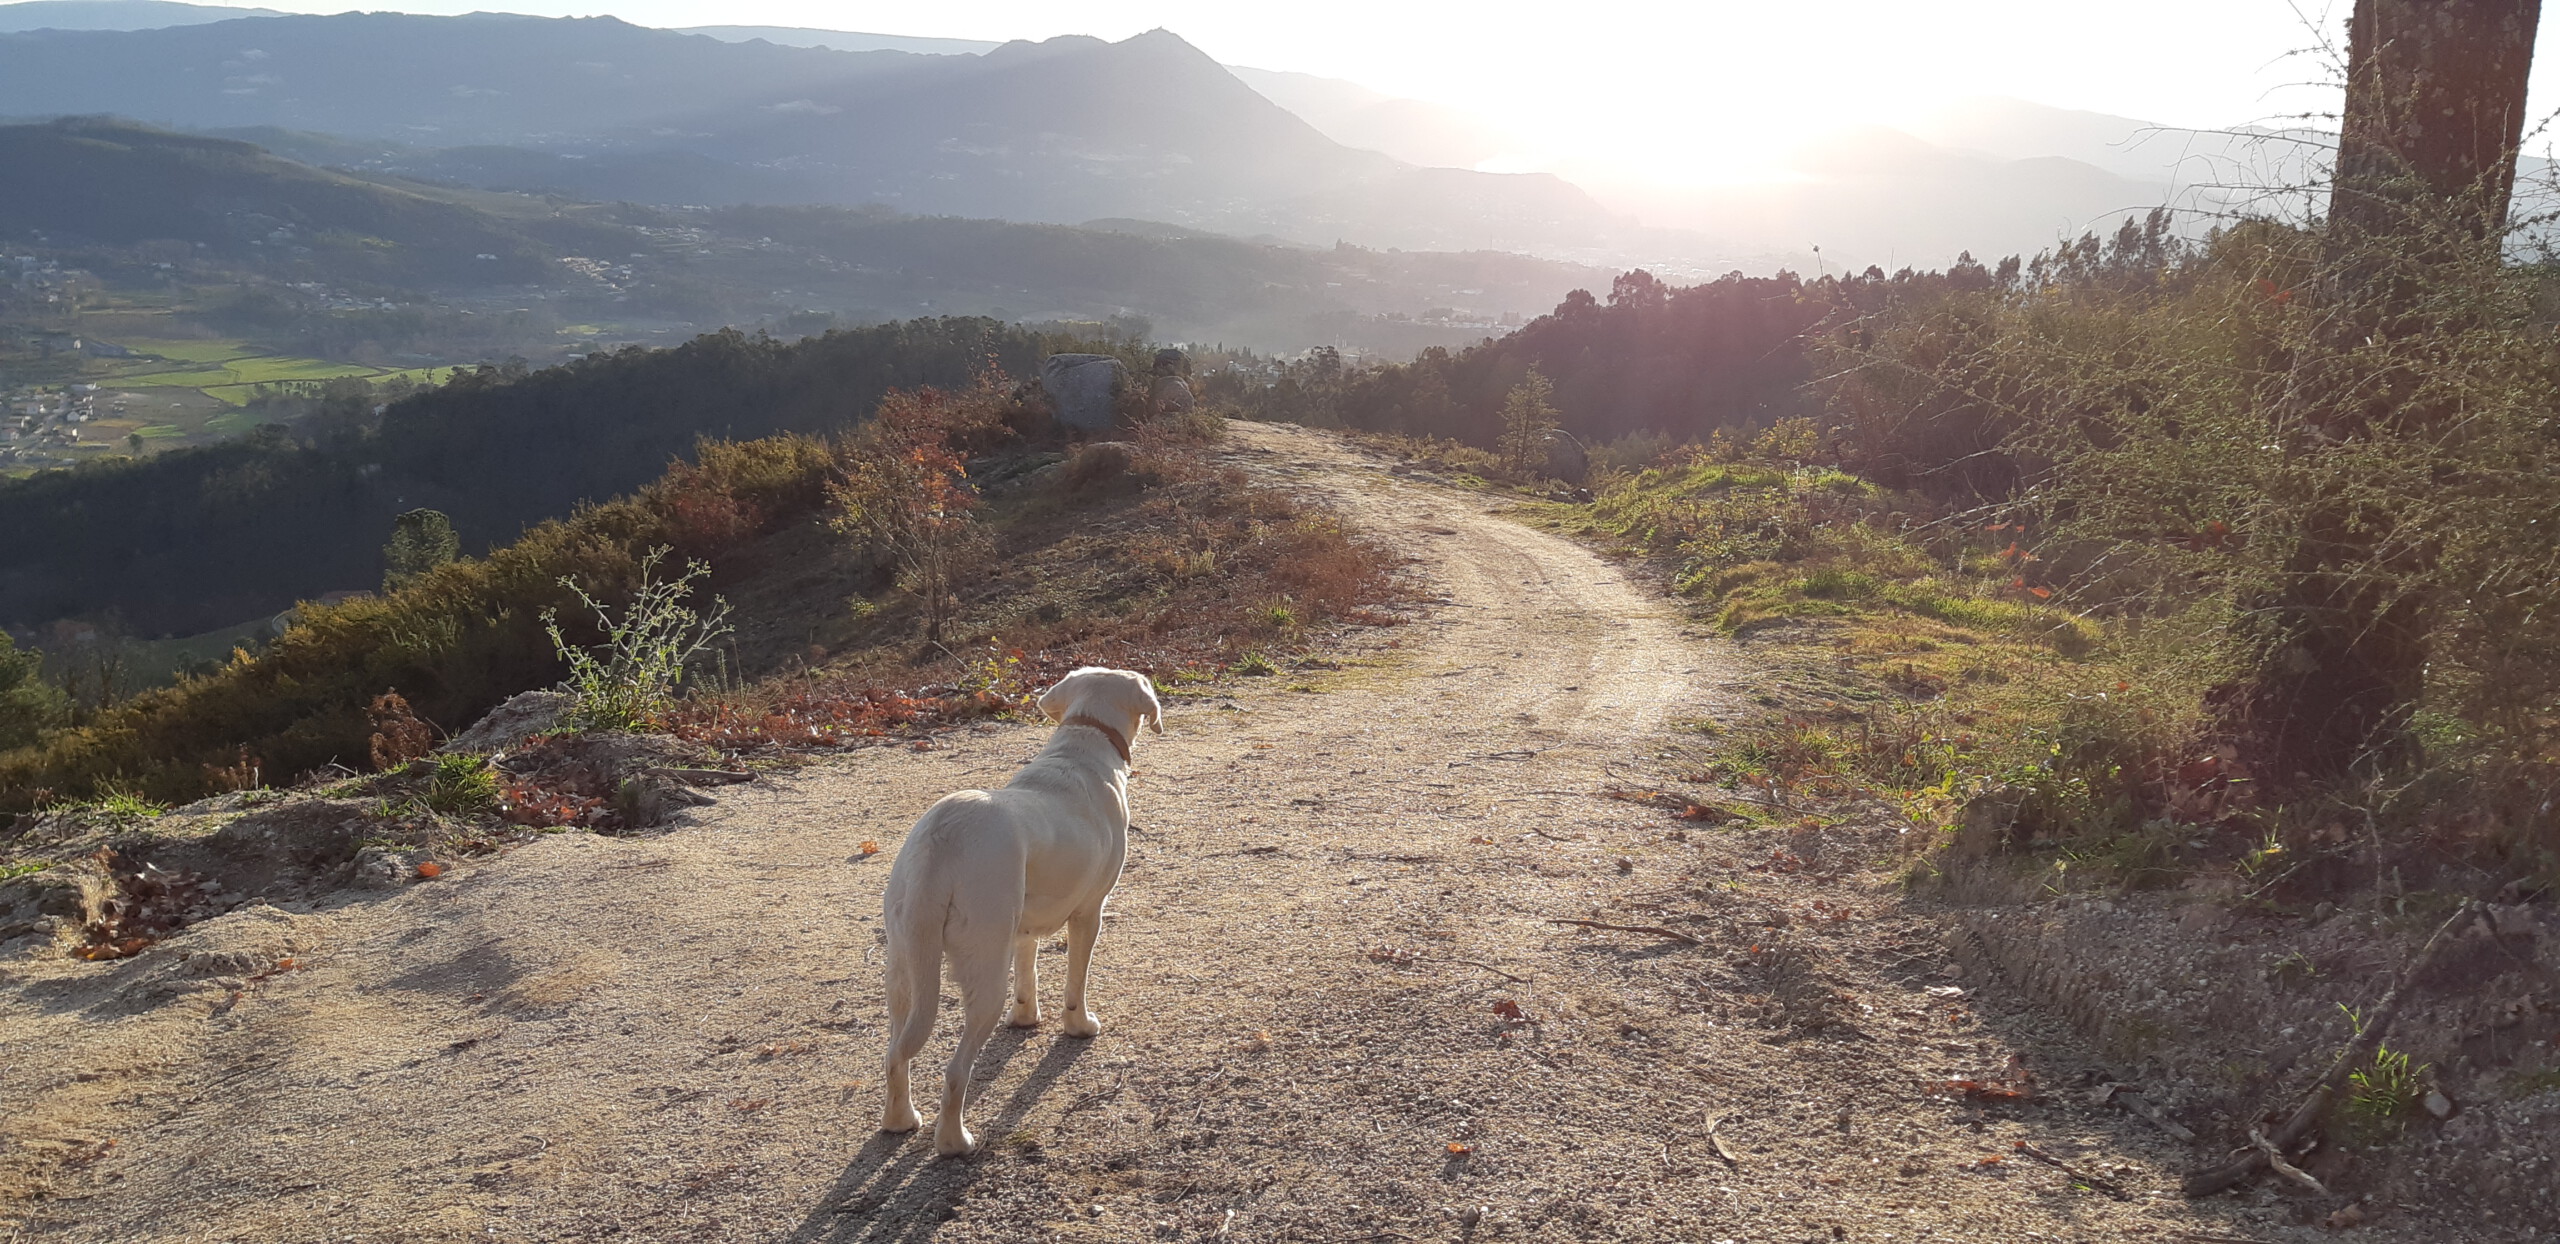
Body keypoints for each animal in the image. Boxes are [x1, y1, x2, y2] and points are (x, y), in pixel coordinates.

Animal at [880, 665, 1162, 1151]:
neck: (1085, 734)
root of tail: (941, 840)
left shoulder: (1023, 929)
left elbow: (1027, 973)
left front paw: (1026, 1018)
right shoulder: (1089, 914)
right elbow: (1075, 983)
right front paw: (1079, 1026)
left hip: (906, 972)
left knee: (896, 1055)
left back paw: (901, 1120)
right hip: (983, 971)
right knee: (955, 1071)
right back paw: (954, 1142)